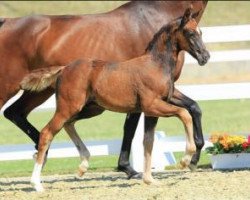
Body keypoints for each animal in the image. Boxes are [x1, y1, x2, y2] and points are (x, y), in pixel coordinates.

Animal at [0, 0, 207, 178]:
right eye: (190, 34)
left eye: (201, 33)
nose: (205, 56)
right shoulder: (147, 101)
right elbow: (135, 127)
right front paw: (129, 168)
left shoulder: (166, 94)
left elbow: (193, 108)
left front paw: (194, 158)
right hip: (14, 88)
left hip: (53, 95)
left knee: (19, 113)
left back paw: (50, 156)